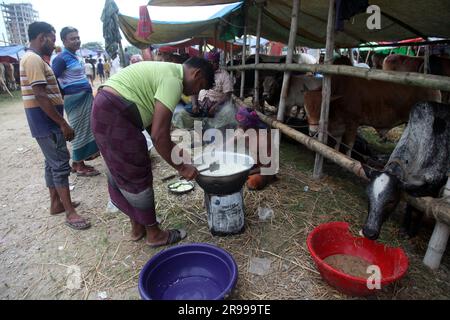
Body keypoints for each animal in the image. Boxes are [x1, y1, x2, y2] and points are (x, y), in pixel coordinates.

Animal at [302, 74, 440, 156]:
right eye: (306, 109)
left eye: (321, 110)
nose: (312, 131)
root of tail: (434, 90)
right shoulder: (339, 124)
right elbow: (338, 141)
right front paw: (334, 153)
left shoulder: (353, 122)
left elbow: (349, 145)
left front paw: (347, 159)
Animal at [362, 102, 450, 240]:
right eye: (367, 195)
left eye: (391, 200)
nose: (369, 232)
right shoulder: (410, 181)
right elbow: (410, 204)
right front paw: (404, 228)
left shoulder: (434, 184)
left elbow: (422, 207)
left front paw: (412, 231)